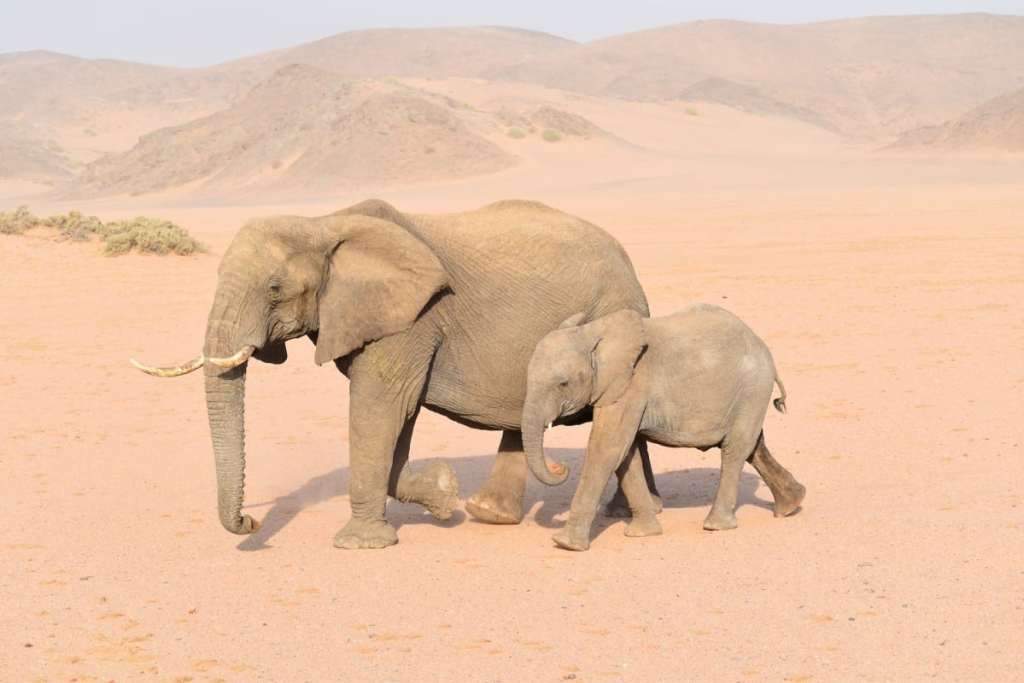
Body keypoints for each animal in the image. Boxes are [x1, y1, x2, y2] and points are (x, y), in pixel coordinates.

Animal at [131, 198, 657, 548]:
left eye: (275, 287)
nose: (251, 524)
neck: (323, 223)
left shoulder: (411, 318)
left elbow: (379, 406)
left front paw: (361, 543)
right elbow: (395, 419)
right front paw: (443, 495)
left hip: (614, 309)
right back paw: (491, 514)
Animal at [522, 305, 806, 551]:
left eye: (563, 383)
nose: (560, 467)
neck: (592, 332)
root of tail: (763, 347)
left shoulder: (632, 383)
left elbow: (608, 449)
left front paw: (566, 544)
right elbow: (626, 455)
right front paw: (644, 533)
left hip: (752, 388)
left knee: (734, 450)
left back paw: (716, 526)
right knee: (753, 447)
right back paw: (791, 505)